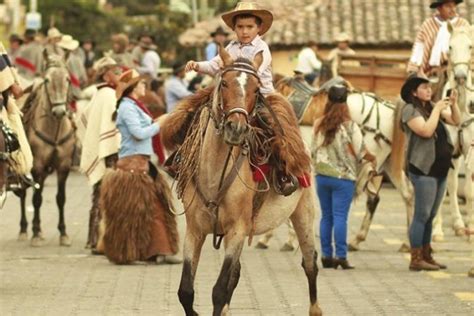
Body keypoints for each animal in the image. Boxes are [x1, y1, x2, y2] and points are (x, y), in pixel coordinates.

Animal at [18, 51, 76, 246]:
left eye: (67, 79)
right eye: (47, 80)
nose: (59, 112)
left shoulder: (63, 166)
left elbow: (61, 199)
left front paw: (64, 233)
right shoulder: (37, 166)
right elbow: (36, 200)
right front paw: (35, 234)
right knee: (23, 194)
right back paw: (24, 230)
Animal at [162, 49, 322, 316]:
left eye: (256, 90)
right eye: (224, 83)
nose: (236, 128)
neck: (214, 176)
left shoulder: (237, 231)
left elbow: (219, 290)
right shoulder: (195, 231)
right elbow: (186, 291)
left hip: (304, 215)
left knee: (310, 264)